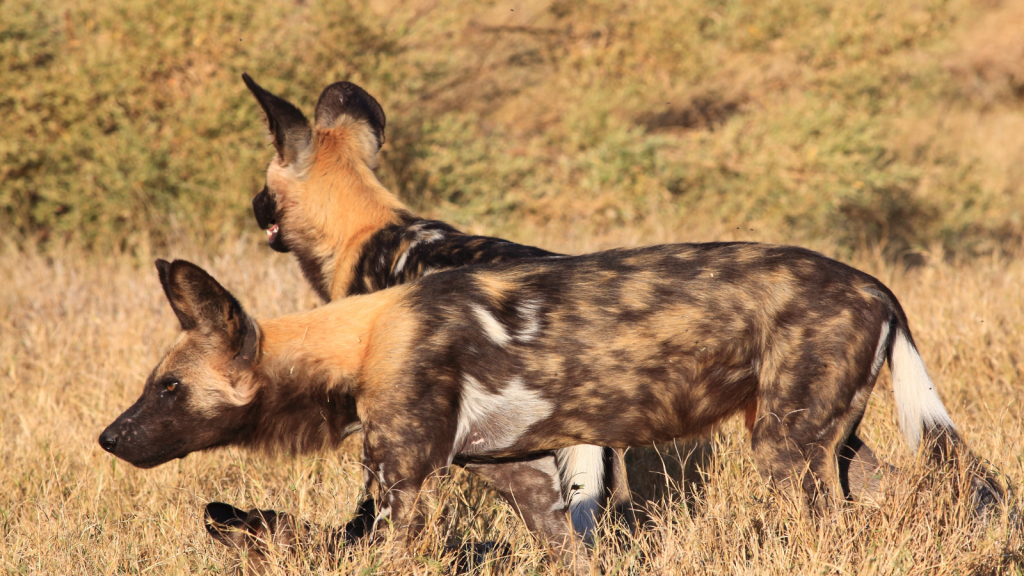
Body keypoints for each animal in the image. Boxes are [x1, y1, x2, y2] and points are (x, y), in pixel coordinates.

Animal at [99, 255, 1003, 565]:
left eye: (169, 387)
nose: (109, 437)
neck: (361, 338)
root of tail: (877, 286)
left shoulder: (402, 489)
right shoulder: (524, 480)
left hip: (788, 456)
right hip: (831, 447)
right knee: (907, 503)